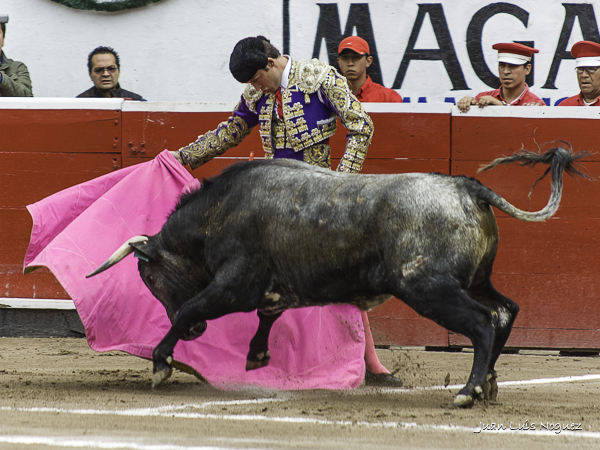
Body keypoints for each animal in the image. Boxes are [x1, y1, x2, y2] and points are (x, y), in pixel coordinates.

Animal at [86, 147, 588, 408]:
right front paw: (256, 355)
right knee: (505, 310)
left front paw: (161, 363)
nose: (196, 334)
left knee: (483, 322)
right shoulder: (269, 288)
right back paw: (488, 385)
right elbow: (268, 314)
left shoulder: (234, 284)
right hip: (474, 279)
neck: (217, 212)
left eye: (150, 280)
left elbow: (192, 304)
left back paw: (468, 391)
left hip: (427, 286)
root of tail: (466, 186)